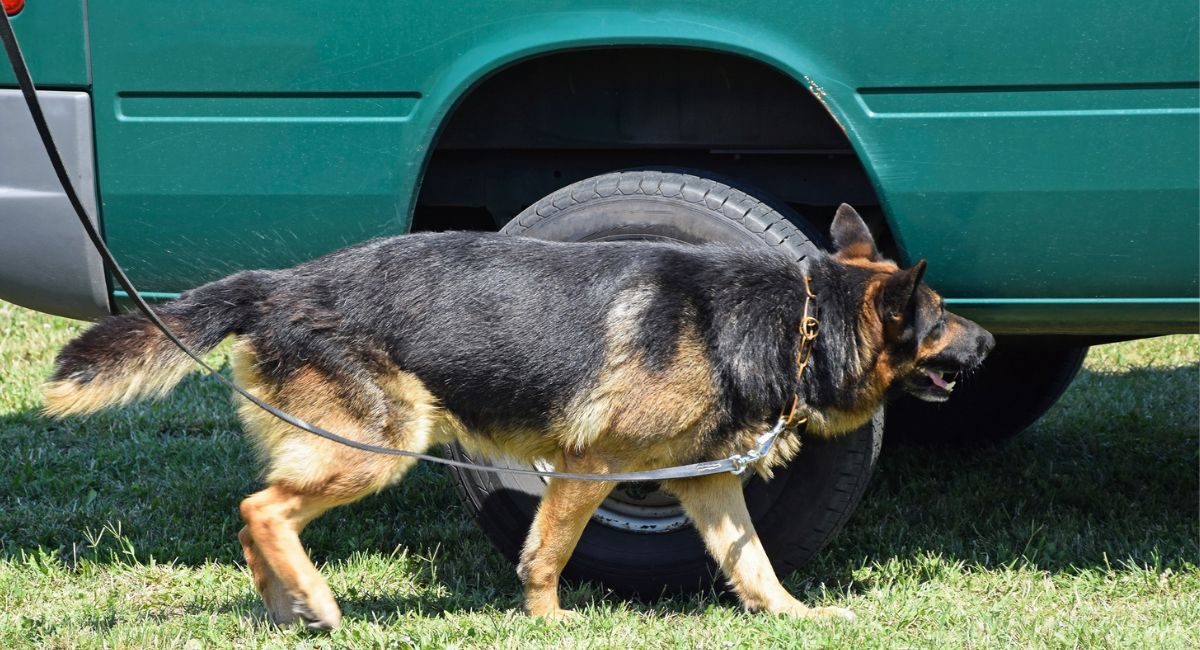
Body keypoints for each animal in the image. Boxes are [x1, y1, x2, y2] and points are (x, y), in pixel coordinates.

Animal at [42, 205, 993, 633]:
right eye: (940, 317)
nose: (987, 340)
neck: (794, 325)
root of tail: (277, 283)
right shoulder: (590, 465)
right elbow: (548, 553)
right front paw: (549, 622)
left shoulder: (709, 487)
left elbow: (752, 564)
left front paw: (795, 615)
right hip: (382, 446)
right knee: (260, 508)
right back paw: (316, 598)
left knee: (257, 517)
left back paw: (288, 608)